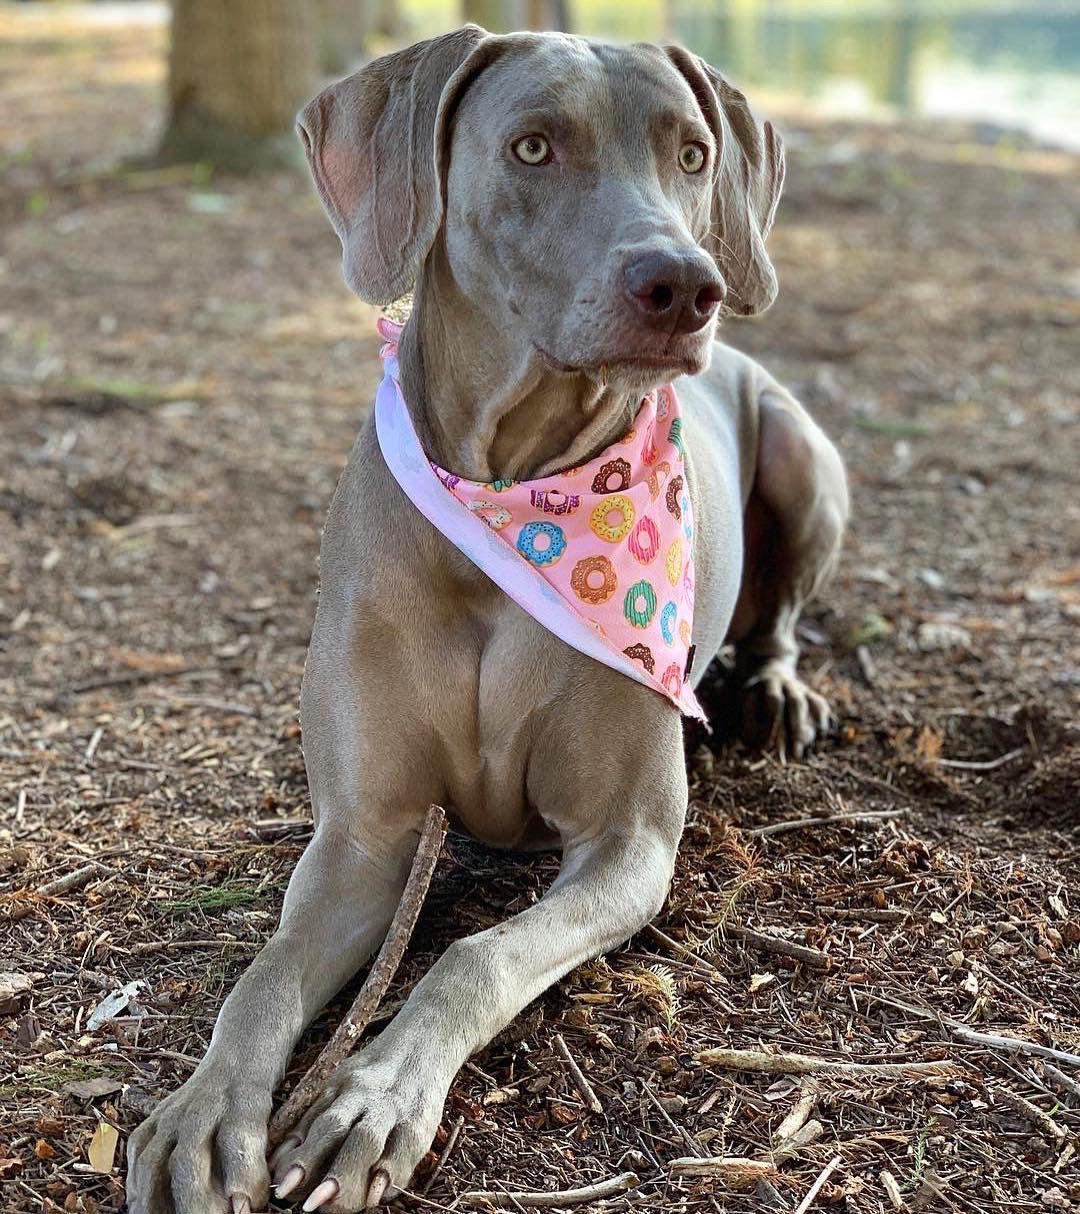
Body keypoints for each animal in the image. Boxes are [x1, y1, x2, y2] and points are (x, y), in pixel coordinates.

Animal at [126, 21, 844, 1214]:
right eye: (533, 146)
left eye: (693, 154)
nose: (685, 285)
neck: (514, 503)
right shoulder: (364, 835)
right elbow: (262, 977)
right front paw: (203, 1114)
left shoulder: (628, 843)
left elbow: (478, 955)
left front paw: (370, 1101)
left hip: (802, 455)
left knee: (784, 610)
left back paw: (778, 687)